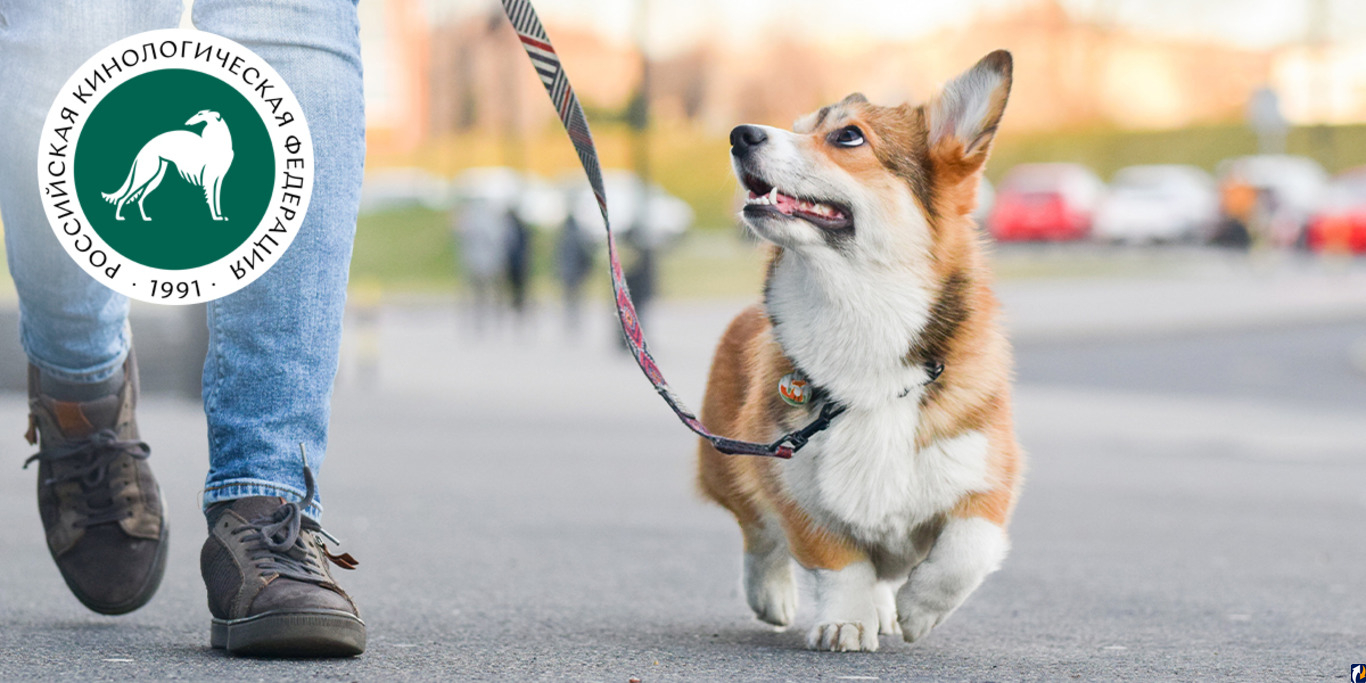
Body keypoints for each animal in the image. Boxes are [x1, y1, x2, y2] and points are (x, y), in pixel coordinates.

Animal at [699, 51, 1021, 650]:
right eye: (798, 127)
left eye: (848, 135)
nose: (740, 133)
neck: (861, 313)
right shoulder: (791, 480)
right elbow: (838, 561)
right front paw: (845, 621)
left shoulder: (988, 474)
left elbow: (967, 549)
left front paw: (918, 610)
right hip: (727, 460)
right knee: (758, 533)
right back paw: (773, 596)